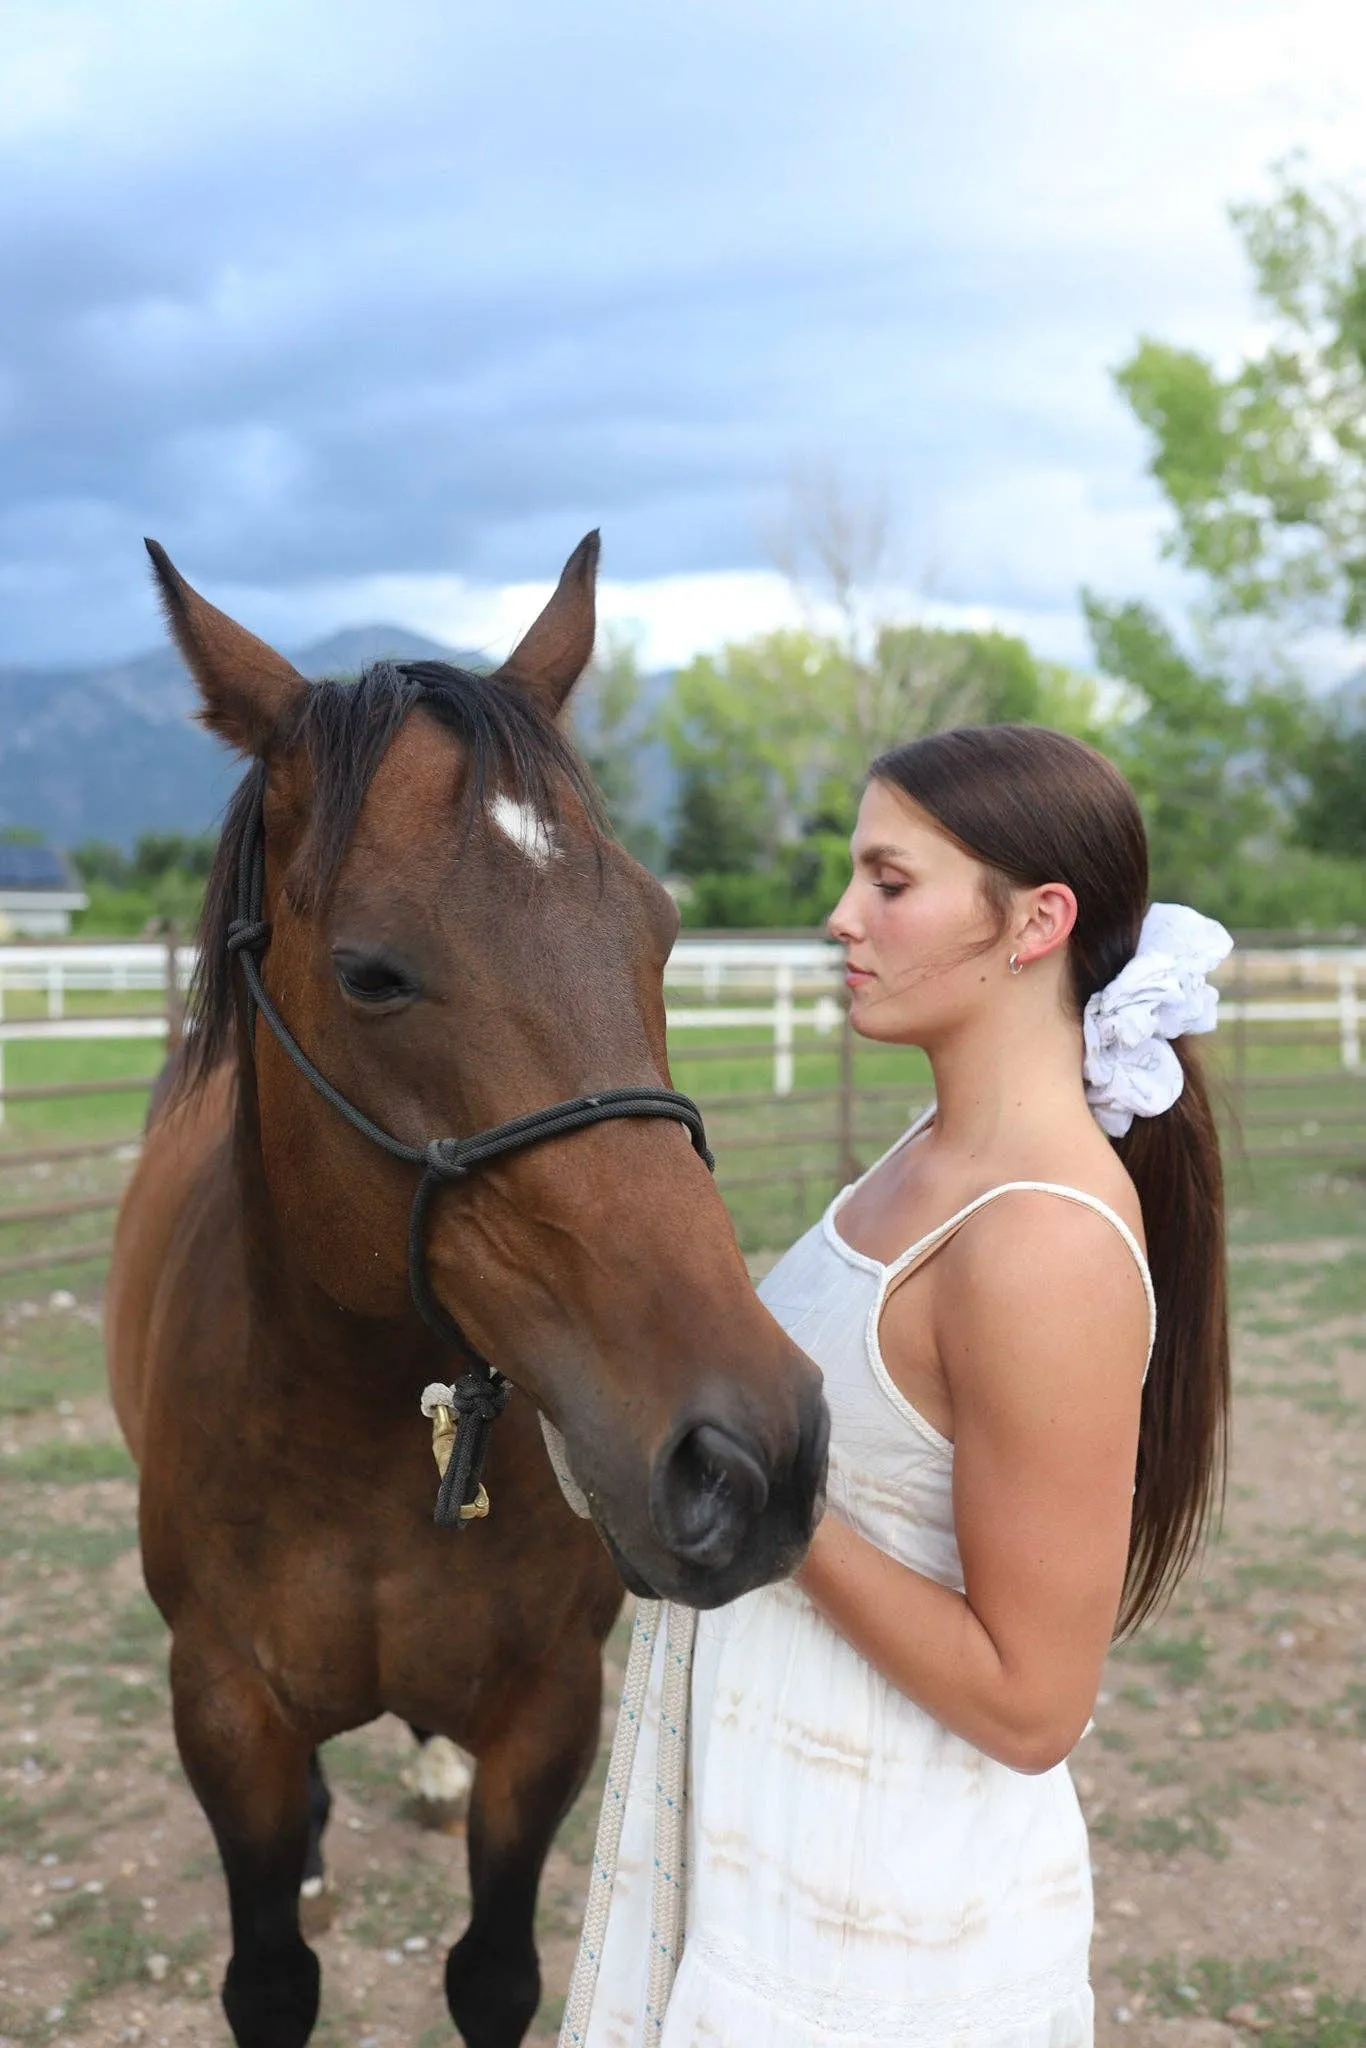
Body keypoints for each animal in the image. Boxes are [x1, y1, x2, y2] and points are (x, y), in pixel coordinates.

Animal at [107, 540, 827, 2048]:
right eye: (371, 972)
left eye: (660, 930)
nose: (750, 1455)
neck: (357, 1443)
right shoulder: (225, 1713)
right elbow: (270, 1978)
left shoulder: (546, 1712)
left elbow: (494, 1974)